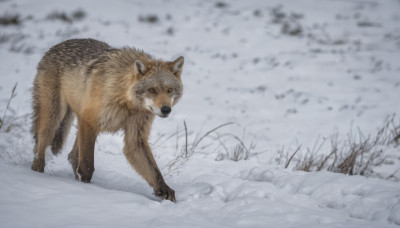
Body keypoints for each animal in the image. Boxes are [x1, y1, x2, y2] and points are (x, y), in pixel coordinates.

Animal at [30, 38, 184, 201]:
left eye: (169, 90)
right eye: (152, 90)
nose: (166, 109)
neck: (125, 100)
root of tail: (55, 47)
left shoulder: (135, 139)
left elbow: (154, 171)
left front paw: (164, 190)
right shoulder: (89, 122)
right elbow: (87, 166)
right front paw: (86, 188)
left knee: (72, 156)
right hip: (54, 119)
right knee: (39, 150)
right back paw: (37, 173)